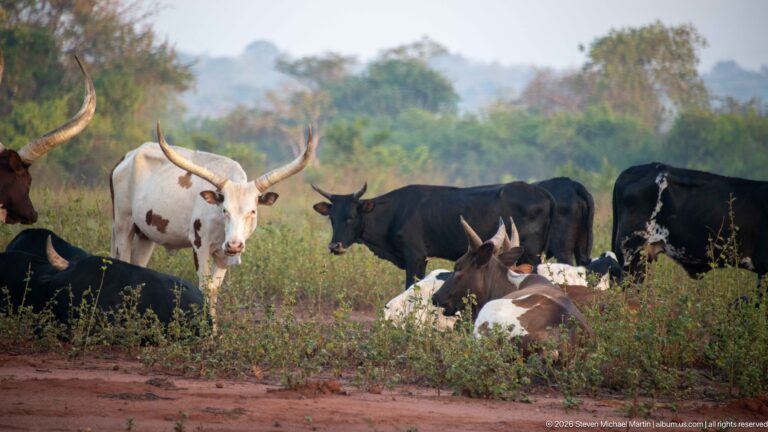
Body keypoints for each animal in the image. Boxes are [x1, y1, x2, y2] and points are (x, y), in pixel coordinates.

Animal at [111, 123, 317, 329]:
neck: (221, 227)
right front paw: (207, 330)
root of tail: (128, 156)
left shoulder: (225, 254)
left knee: (138, 268)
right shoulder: (200, 245)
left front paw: (215, 329)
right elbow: (205, 288)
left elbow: (215, 289)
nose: (235, 245)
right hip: (122, 223)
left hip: (145, 234)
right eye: (224, 210)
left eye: (252, 211)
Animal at [311, 181, 555, 289]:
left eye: (351, 217)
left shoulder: (415, 256)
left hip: (531, 254)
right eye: (332, 217)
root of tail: (542, 192)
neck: (395, 212)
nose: (335, 246)